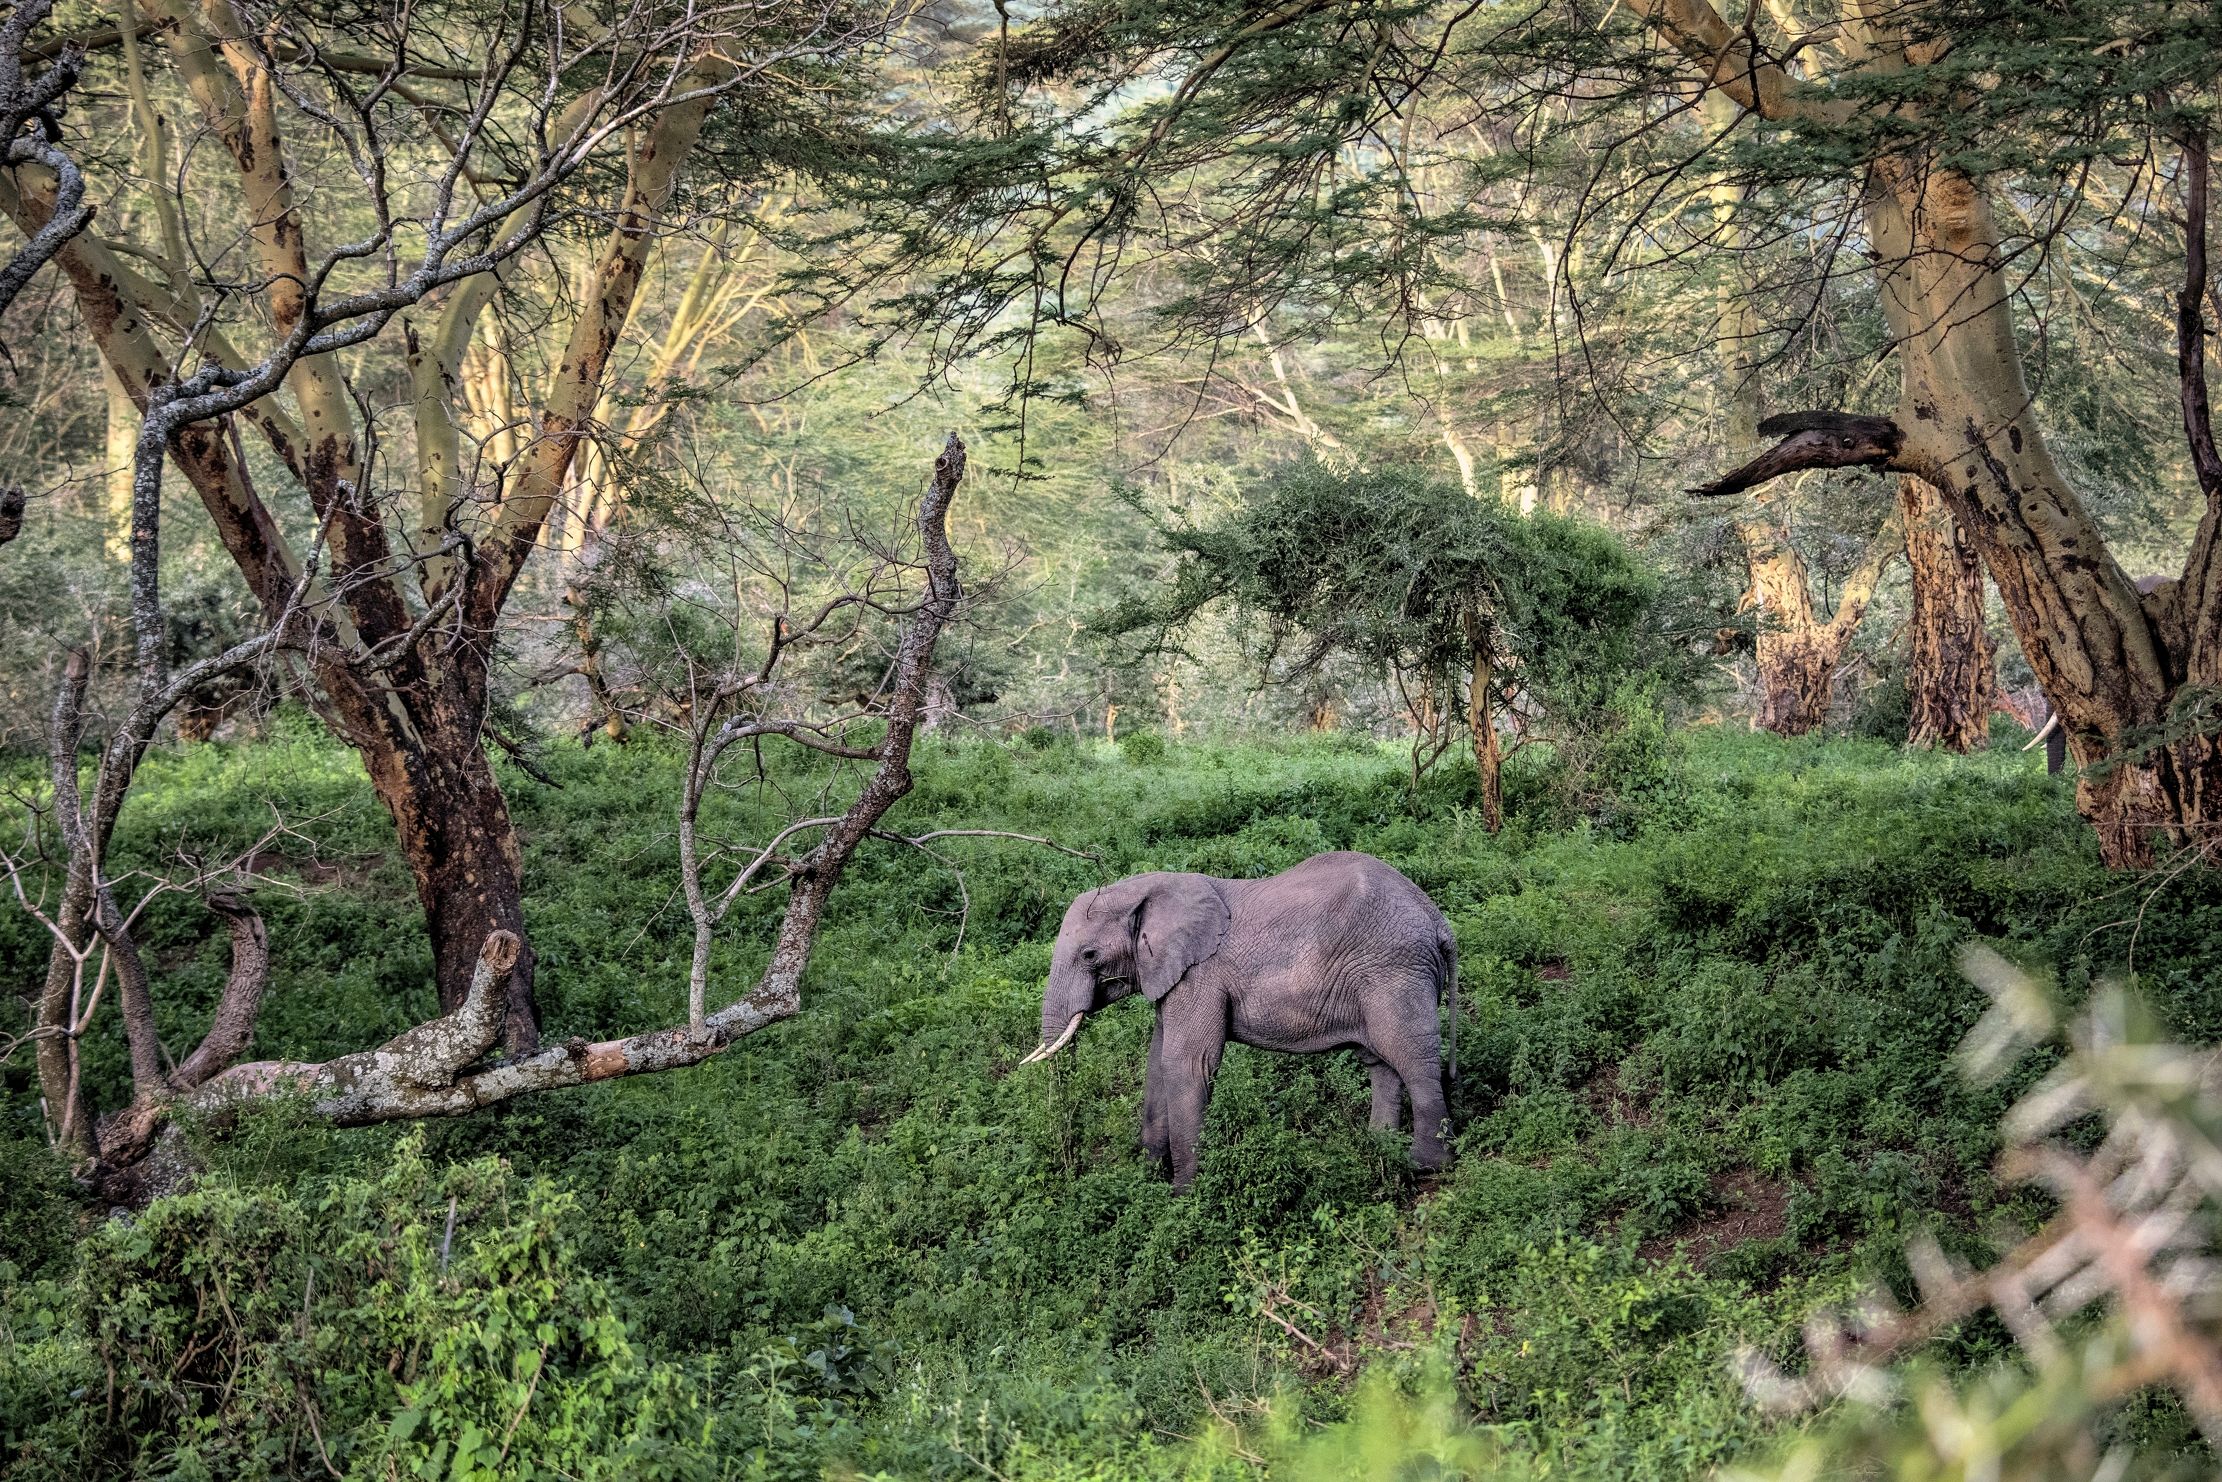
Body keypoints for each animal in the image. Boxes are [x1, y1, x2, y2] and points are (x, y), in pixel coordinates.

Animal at [1019, 851, 1458, 1188]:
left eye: (1089, 955)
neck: (1149, 887)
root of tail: (1439, 920)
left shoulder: (1200, 976)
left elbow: (1186, 1064)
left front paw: (1186, 1195)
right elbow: (1157, 1061)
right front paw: (1149, 1176)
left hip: (1396, 971)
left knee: (1413, 1059)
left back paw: (1425, 1167)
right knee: (1382, 1063)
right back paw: (1378, 1149)